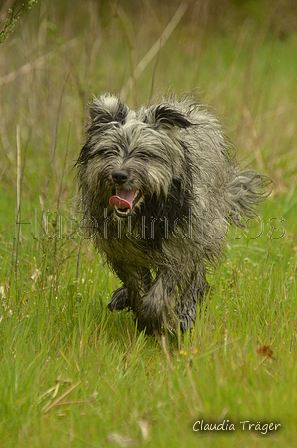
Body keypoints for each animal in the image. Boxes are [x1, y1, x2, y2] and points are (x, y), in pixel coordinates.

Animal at [75, 93, 270, 332]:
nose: (119, 175)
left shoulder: (182, 246)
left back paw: (186, 312)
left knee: (197, 277)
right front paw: (138, 305)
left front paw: (156, 318)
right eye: (108, 151)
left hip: (206, 230)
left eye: (144, 154)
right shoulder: (121, 251)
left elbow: (163, 288)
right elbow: (136, 282)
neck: (146, 211)